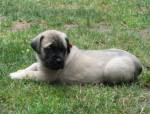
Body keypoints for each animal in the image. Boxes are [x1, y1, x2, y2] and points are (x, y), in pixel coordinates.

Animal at [9, 29, 142, 84]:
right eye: (49, 48)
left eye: (63, 50)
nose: (59, 60)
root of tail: (138, 63)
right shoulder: (41, 65)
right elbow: (32, 66)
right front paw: (19, 70)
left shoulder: (46, 76)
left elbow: (30, 74)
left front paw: (15, 75)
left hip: (111, 70)